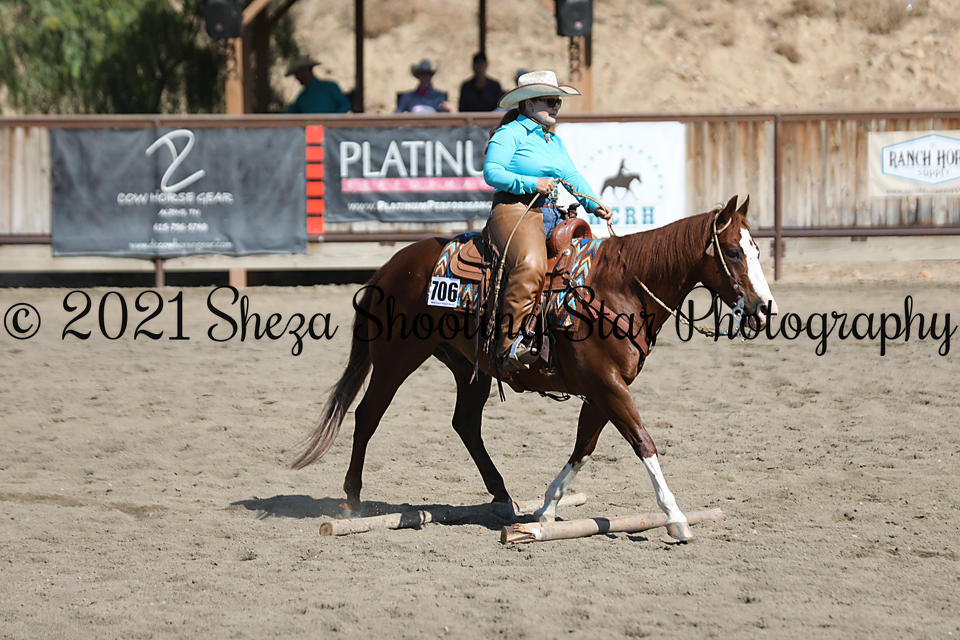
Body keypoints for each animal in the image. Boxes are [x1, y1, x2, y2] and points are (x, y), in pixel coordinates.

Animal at [292, 195, 778, 541]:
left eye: (756, 249)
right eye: (733, 252)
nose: (764, 309)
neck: (619, 288)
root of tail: (390, 266)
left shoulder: (602, 390)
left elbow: (583, 448)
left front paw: (545, 511)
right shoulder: (608, 386)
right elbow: (643, 442)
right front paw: (676, 516)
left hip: (470, 367)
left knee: (465, 423)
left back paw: (502, 496)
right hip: (396, 359)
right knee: (367, 416)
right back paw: (351, 501)